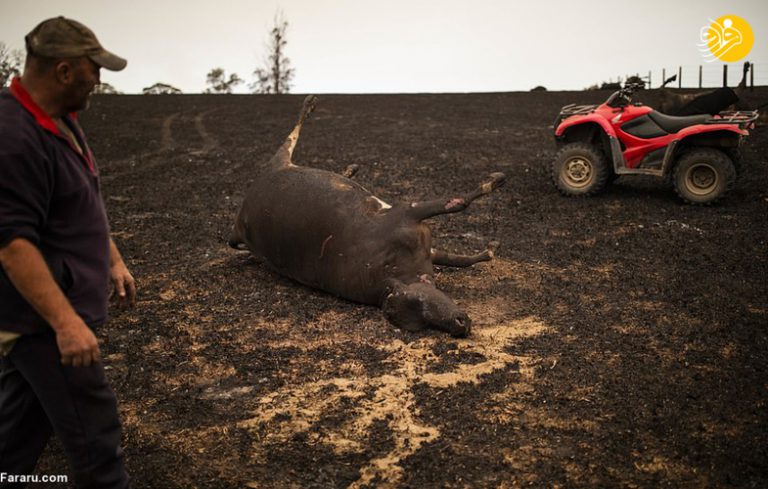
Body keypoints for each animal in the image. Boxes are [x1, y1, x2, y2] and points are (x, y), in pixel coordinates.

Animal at [230, 97, 504, 338]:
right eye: (421, 310)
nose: (460, 325)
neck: (390, 272)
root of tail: (241, 218)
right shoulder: (407, 213)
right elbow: (459, 203)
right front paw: (495, 181)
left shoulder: (424, 242)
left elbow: (462, 260)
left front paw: (489, 249)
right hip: (279, 159)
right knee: (291, 135)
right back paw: (310, 104)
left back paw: (348, 169)